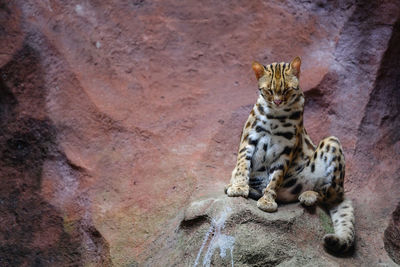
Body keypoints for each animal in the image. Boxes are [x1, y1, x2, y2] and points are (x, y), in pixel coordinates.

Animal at [225, 56, 356, 253]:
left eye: (287, 90)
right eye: (269, 91)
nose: (278, 102)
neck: (276, 115)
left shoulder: (286, 149)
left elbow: (275, 178)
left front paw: (267, 200)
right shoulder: (249, 138)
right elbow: (242, 164)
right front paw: (239, 187)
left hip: (332, 143)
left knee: (330, 194)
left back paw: (309, 195)